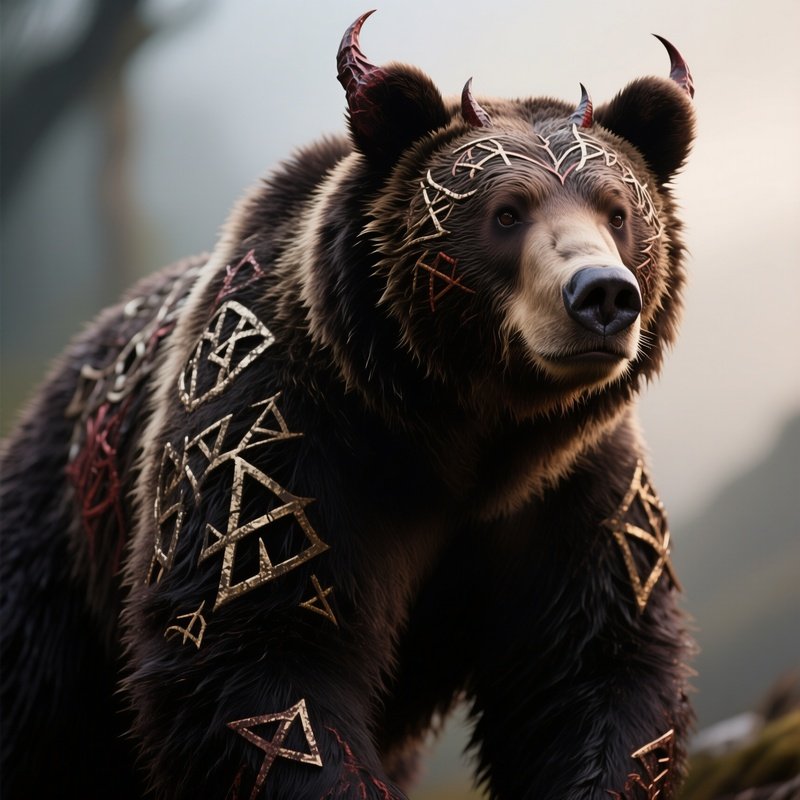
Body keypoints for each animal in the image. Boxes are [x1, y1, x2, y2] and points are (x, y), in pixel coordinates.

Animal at [0, 10, 697, 800]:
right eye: (506, 212)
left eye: (618, 211)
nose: (602, 295)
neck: (462, 428)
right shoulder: (275, 437)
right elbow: (262, 669)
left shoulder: (574, 487)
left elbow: (599, 664)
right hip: (61, 541)